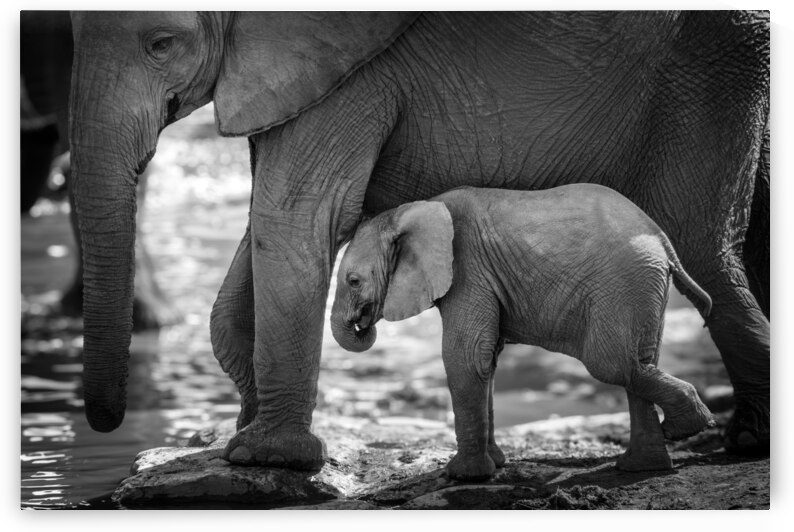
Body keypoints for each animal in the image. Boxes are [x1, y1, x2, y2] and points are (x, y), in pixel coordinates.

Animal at [330, 184, 716, 480]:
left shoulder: (468, 269)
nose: (362, 324)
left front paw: (462, 475)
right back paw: (644, 464)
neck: (409, 212)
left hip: (624, 284)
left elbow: (466, 356)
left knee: (610, 362)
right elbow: (487, 360)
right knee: (642, 358)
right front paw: (496, 464)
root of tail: (662, 239)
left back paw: (687, 427)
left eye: (354, 281)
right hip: (643, 285)